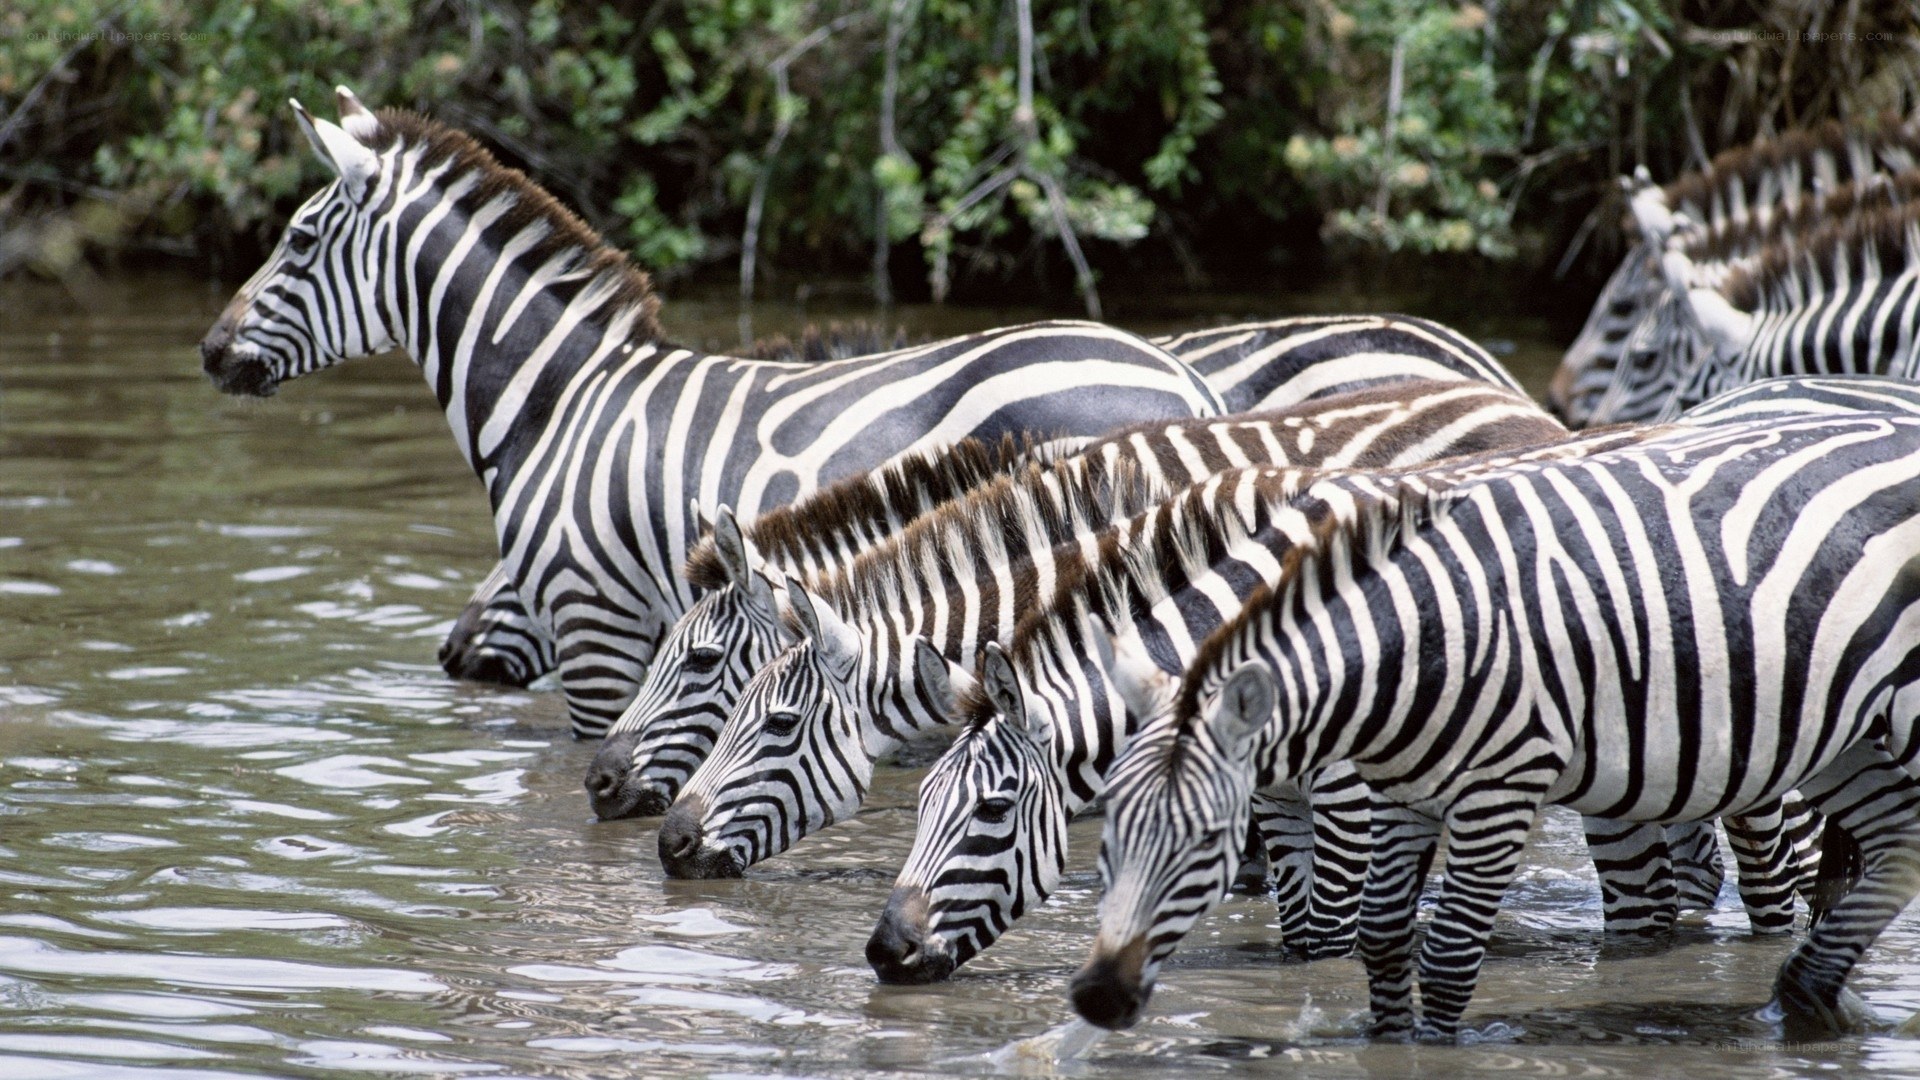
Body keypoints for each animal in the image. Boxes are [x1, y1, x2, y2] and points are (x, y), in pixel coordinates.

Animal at [1071, 413, 1920, 1041]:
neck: (1420, 641)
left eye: (1210, 841)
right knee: (1897, 841)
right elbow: (1383, 937)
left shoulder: (1501, 789)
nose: (1095, 999)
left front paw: (1432, 1050)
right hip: (1845, 734)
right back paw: (1810, 995)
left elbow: (1446, 956)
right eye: (1109, 829)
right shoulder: (1402, 794)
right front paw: (1386, 1041)